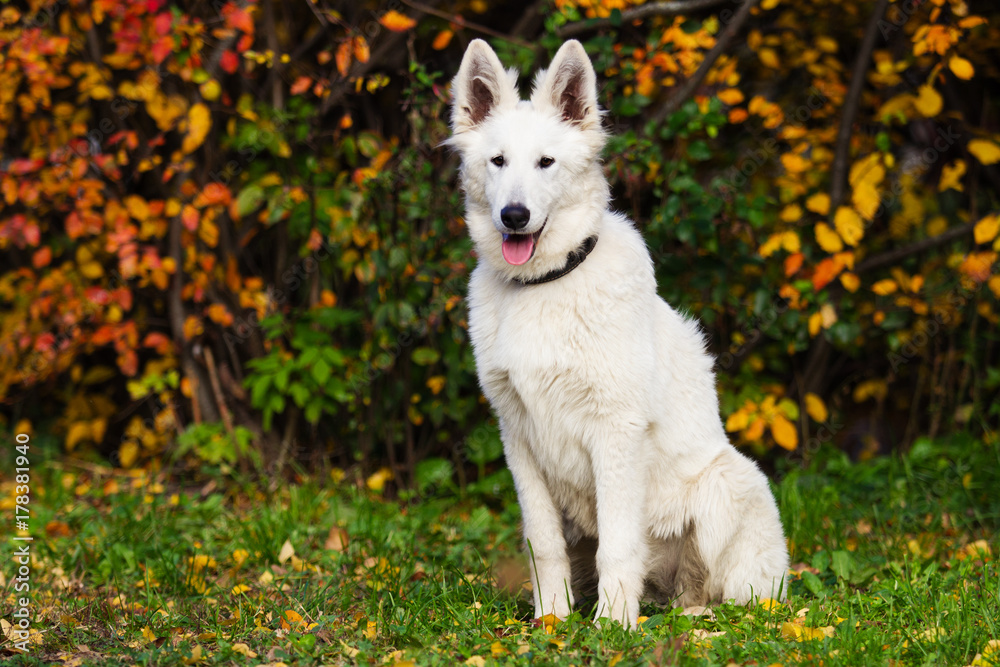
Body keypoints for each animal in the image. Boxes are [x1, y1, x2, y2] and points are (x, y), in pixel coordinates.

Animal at [452, 37, 788, 632]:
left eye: (546, 162)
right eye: (498, 162)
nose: (514, 216)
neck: (545, 284)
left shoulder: (615, 434)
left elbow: (619, 544)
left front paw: (612, 626)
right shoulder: (519, 438)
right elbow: (543, 543)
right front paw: (552, 621)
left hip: (728, 484)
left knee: (726, 595)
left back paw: (693, 618)